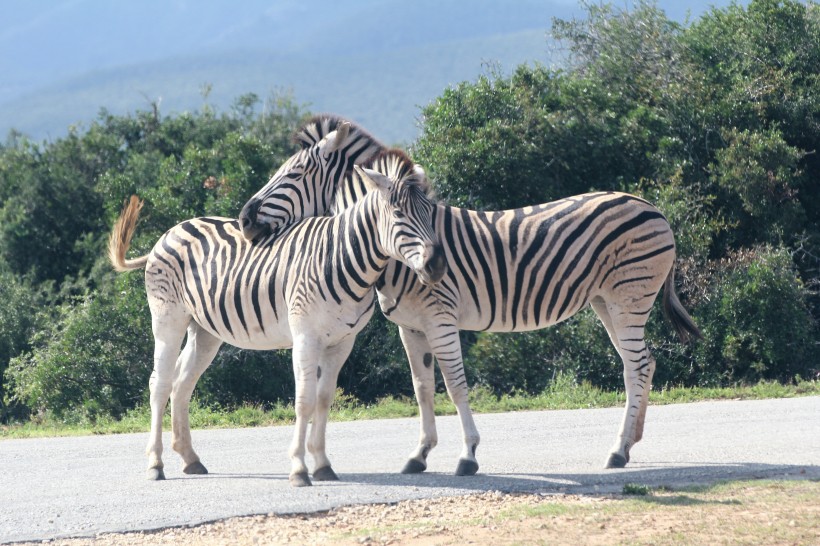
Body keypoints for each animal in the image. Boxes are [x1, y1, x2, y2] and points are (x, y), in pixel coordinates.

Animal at [108, 152, 446, 484]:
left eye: (431, 213)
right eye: (399, 214)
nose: (437, 266)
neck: (340, 256)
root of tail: (171, 231)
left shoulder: (342, 342)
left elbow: (324, 399)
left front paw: (322, 465)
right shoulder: (305, 337)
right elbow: (304, 400)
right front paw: (299, 469)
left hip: (205, 331)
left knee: (182, 383)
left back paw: (190, 459)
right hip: (168, 319)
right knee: (160, 383)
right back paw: (155, 464)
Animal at [239, 118, 704, 472]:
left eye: (292, 175)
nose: (244, 219)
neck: (395, 256)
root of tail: (653, 207)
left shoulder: (441, 318)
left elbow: (456, 385)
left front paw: (468, 456)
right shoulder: (411, 326)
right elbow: (422, 388)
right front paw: (419, 455)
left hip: (629, 298)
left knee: (636, 365)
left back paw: (618, 449)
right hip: (607, 301)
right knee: (641, 363)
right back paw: (630, 442)